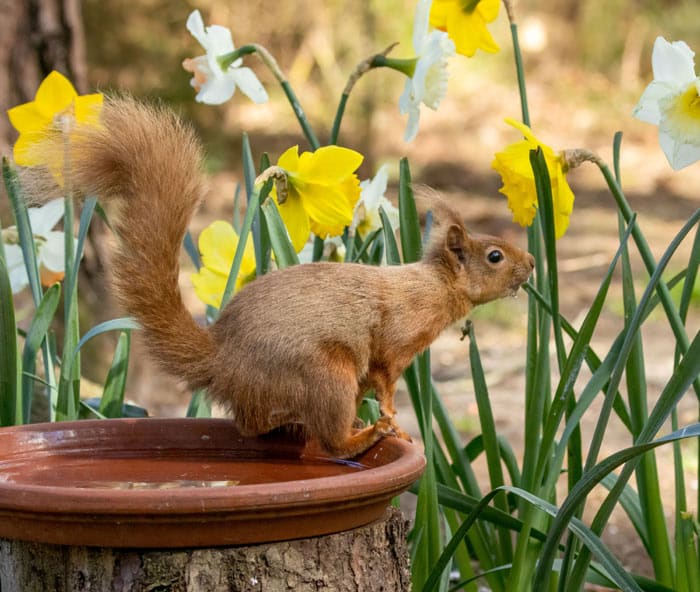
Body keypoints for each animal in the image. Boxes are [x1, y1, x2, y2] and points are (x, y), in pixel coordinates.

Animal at [24, 97, 532, 458]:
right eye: (494, 256)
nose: (530, 264)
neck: (432, 287)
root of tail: (222, 360)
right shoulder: (393, 341)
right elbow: (387, 383)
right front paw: (397, 424)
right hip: (327, 373)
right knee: (327, 442)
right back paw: (363, 437)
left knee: (253, 425)